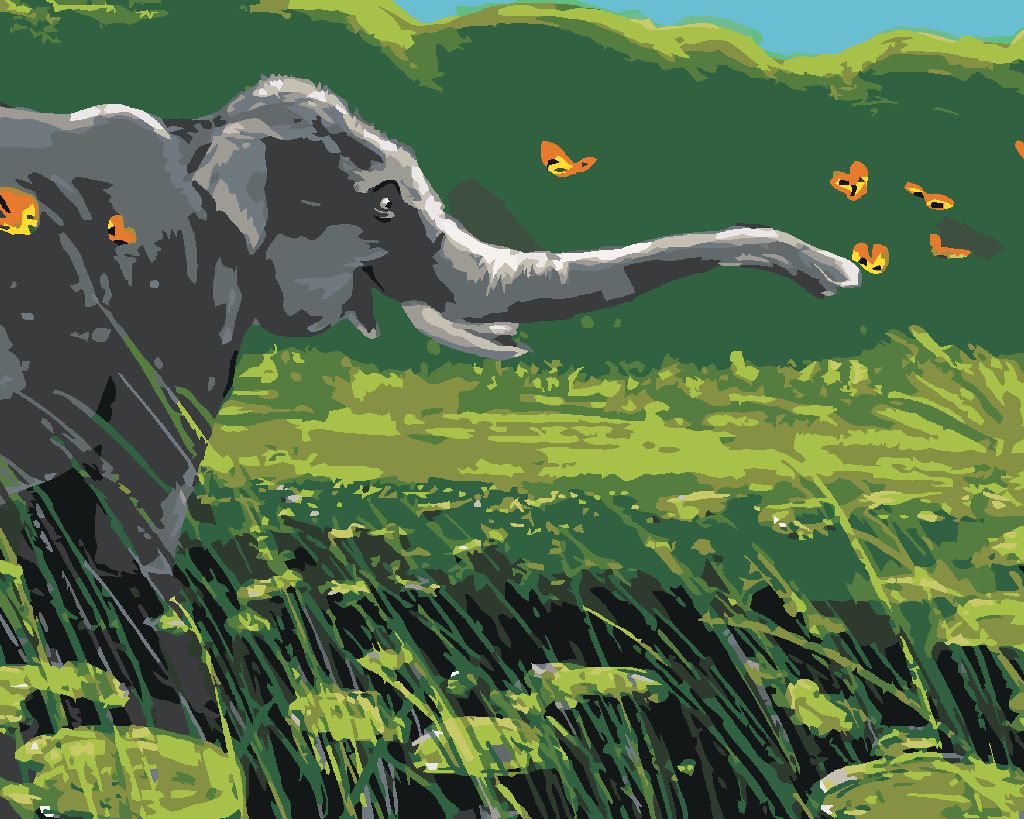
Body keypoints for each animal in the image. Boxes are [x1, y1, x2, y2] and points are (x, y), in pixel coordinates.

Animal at [0, 76, 861, 736]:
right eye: (385, 206)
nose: (838, 277)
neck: (206, 138)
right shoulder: (175, 298)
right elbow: (135, 516)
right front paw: (192, 730)